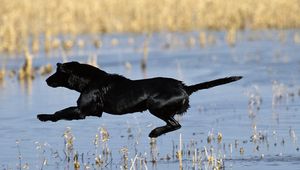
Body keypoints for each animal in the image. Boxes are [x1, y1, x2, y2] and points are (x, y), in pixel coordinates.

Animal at [37, 61, 243, 137]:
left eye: (57, 72)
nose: (46, 80)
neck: (89, 80)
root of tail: (184, 87)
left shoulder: (82, 111)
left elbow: (60, 112)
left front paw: (43, 117)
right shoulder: (92, 112)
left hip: (155, 106)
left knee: (175, 124)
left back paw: (154, 132)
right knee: (175, 124)